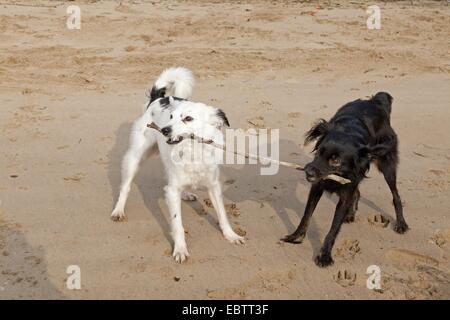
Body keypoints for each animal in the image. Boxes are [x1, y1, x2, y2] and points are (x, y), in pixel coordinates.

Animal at [112, 67, 246, 262]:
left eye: (188, 118)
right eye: (171, 116)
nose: (164, 130)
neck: (193, 150)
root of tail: (158, 98)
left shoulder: (213, 186)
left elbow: (222, 214)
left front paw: (231, 235)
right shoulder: (172, 190)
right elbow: (177, 223)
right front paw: (180, 249)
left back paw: (187, 194)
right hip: (135, 157)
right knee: (126, 186)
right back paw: (118, 210)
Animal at [284, 92, 408, 268]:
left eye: (335, 160)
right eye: (319, 151)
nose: (308, 171)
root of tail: (375, 100)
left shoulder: (344, 193)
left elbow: (334, 228)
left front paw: (325, 256)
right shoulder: (317, 187)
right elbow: (306, 216)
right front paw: (296, 237)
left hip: (387, 166)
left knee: (395, 195)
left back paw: (401, 223)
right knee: (358, 192)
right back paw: (350, 213)